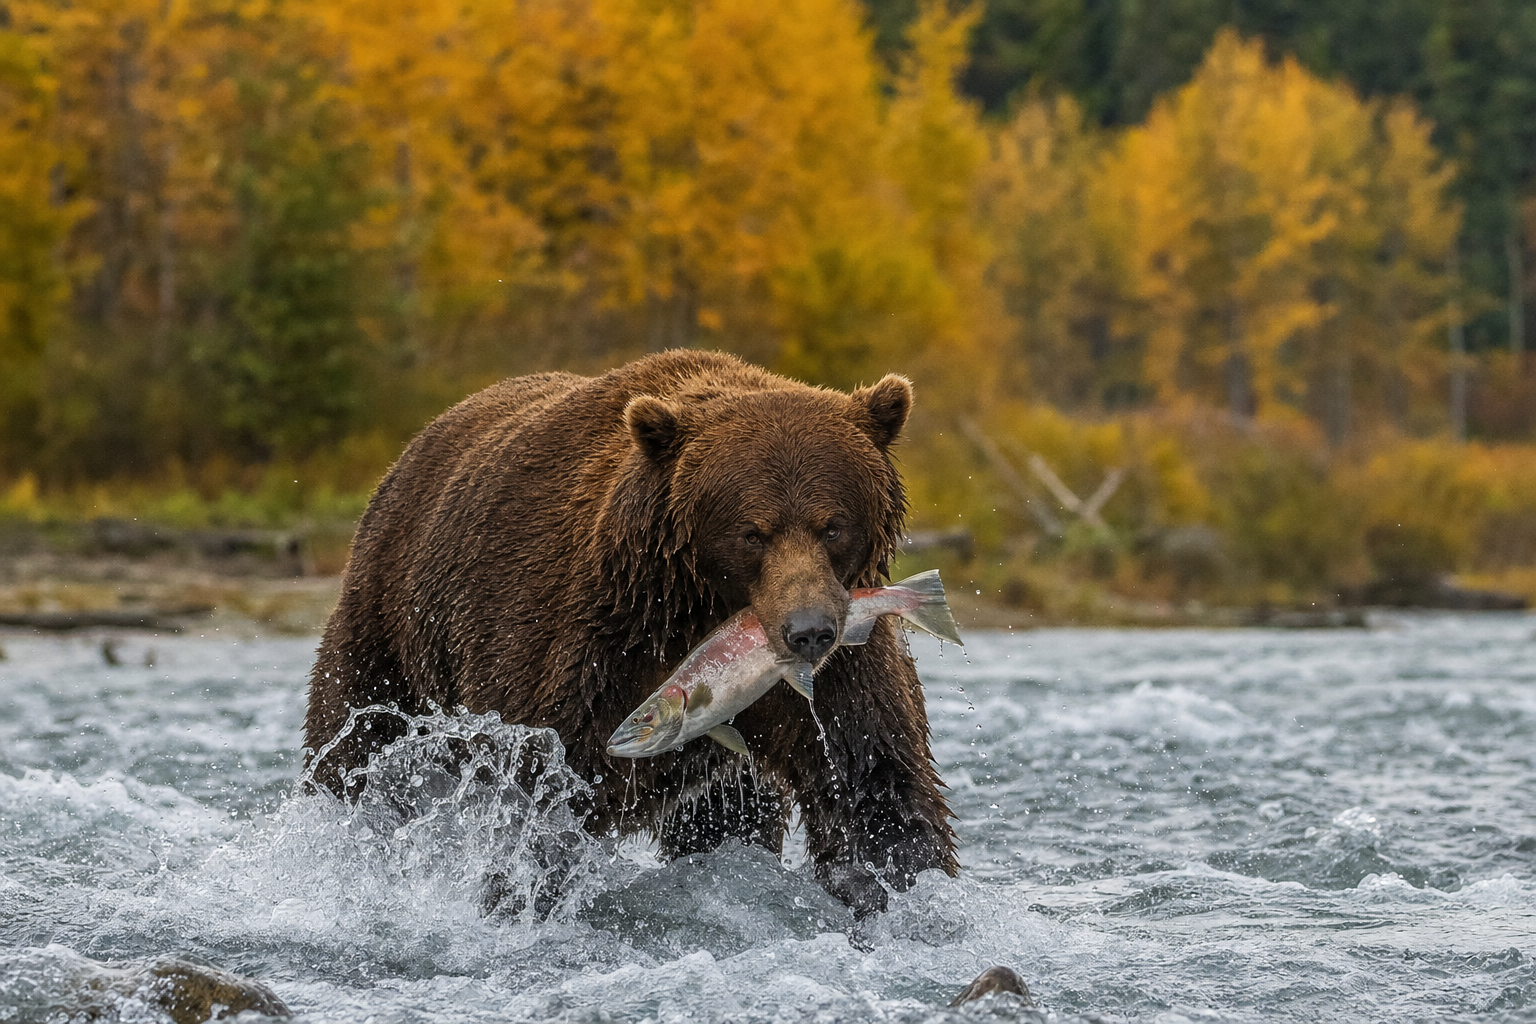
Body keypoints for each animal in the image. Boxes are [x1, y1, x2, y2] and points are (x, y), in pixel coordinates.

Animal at [303, 349, 958, 915]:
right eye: (753, 532)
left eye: (833, 526)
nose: (809, 632)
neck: (703, 604)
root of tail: (411, 452)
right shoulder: (597, 645)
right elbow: (550, 784)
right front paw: (520, 891)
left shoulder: (845, 665)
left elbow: (874, 784)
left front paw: (905, 891)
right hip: (391, 626)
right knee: (354, 745)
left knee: (728, 816)